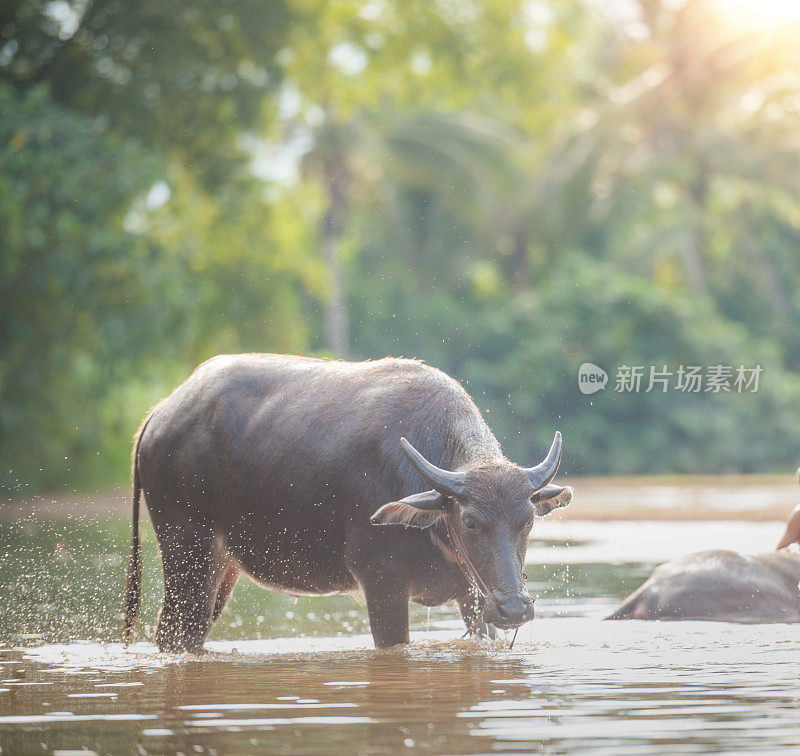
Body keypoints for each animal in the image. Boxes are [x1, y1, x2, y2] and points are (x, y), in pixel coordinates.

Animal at [125, 354, 572, 648]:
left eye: (527, 520)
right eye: (471, 522)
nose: (514, 608)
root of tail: (158, 415)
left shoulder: (473, 595)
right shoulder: (381, 582)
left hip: (222, 565)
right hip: (187, 552)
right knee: (175, 631)